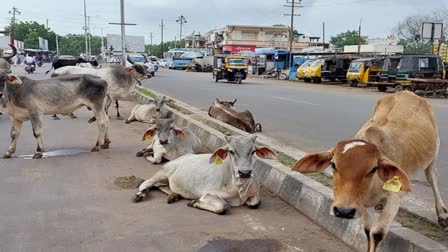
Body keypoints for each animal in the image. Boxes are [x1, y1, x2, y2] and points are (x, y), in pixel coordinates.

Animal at [133, 136, 276, 215]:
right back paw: (141, 194)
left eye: (253, 151)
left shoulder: (255, 195)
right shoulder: (209, 194)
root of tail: (183, 157)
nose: (245, 173)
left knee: (162, 187)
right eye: (231, 151)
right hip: (163, 172)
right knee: (147, 183)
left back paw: (174, 196)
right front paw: (195, 203)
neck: (240, 188)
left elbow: (256, 203)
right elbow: (223, 206)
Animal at [290, 91, 448, 252]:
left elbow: (377, 233)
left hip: (433, 155)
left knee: (432, 178)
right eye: (333, 164)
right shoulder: (362, 203)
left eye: (373, 168)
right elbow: (367, 230)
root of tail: (408, 92)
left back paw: (442, 214)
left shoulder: (394, 198)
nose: (343, 211)